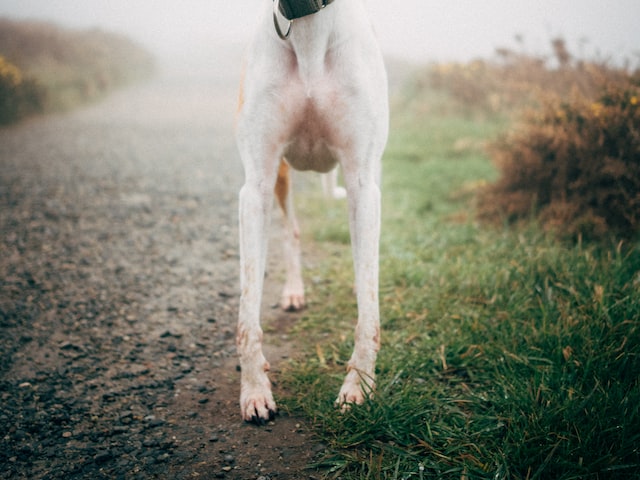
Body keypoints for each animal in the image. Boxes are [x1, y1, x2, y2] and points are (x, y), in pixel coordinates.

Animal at [232, 0, 388, 424]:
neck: (307, 28)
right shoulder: (255, 186)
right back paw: (293, 290)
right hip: (281, 178)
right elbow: (247, 314)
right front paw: (255, 390)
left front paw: (358, 387)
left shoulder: (363, 182)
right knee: (292, 232)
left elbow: (369, 308)